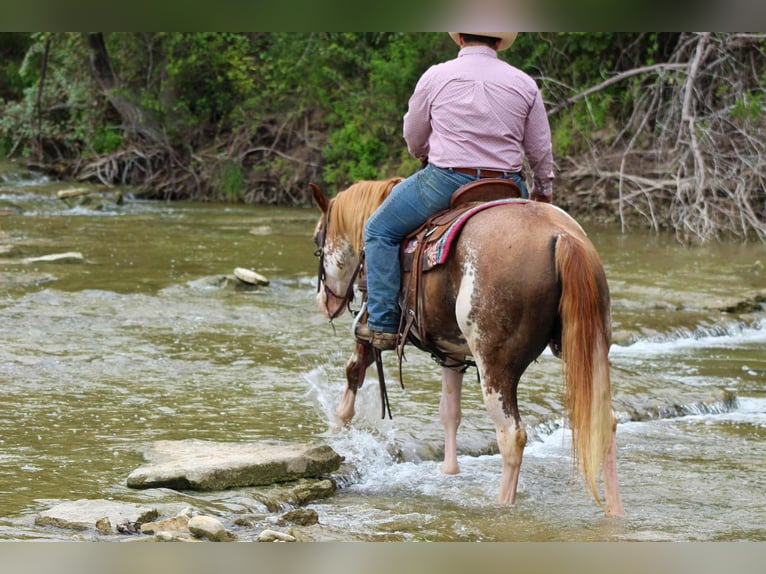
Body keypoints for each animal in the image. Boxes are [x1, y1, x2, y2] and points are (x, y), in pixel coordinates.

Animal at [310, 178, 624, 516]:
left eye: (317, 241)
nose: (325, 302)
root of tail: (561, 235)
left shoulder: (370, 331)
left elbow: (353, 371)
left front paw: (340, 426)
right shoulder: (452, 354)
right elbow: (450, 412)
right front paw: (450, 471)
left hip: (496, 367)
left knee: (512, 436)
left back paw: (502, 505)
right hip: (592, 348)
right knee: (604, 422)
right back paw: (615, 511)